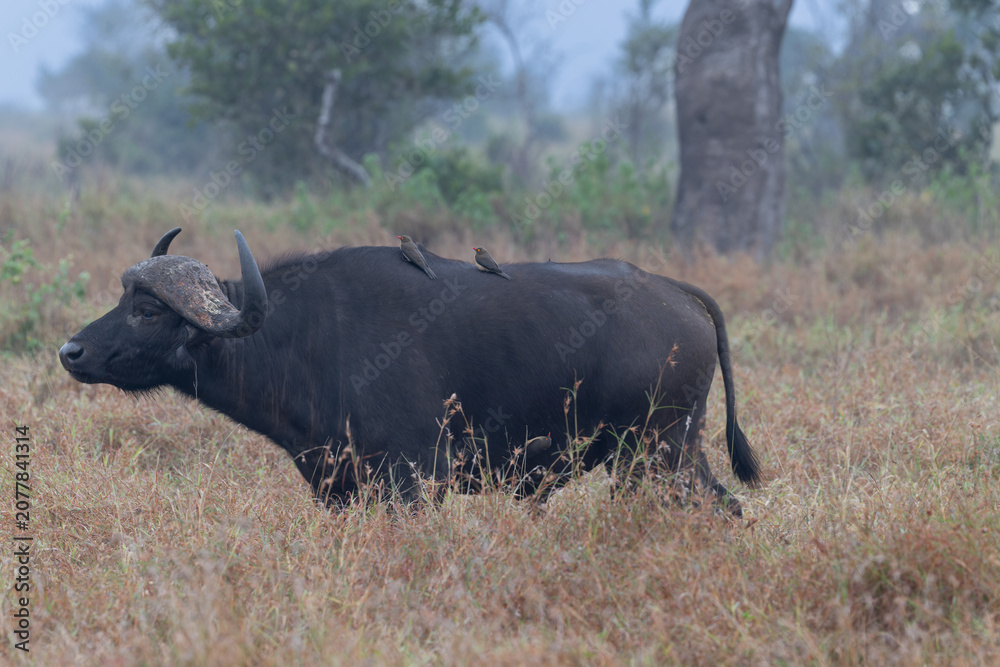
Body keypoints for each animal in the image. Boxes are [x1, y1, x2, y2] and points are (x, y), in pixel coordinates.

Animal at [59, 229, 761, 513]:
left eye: (147, 309)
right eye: (124, 297)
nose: (72, 351)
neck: (303, 338)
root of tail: (674, 293)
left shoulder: (412, 482)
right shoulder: (338, 487)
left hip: (655, 456)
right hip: (675, 454)